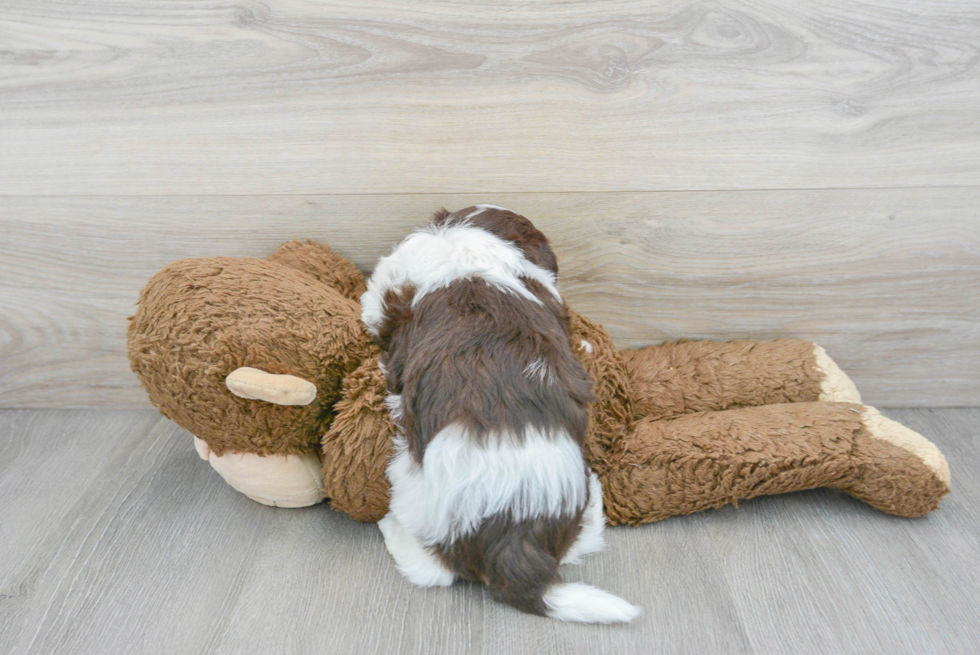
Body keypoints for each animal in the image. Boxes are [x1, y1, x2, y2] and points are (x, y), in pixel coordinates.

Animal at [364, 208, 640, 624]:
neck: (470, 245)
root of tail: (514, 535)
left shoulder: (389, 290)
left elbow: (371, 299)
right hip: (580, 507)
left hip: (414, 491)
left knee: (431, 570)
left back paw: (389, 526)